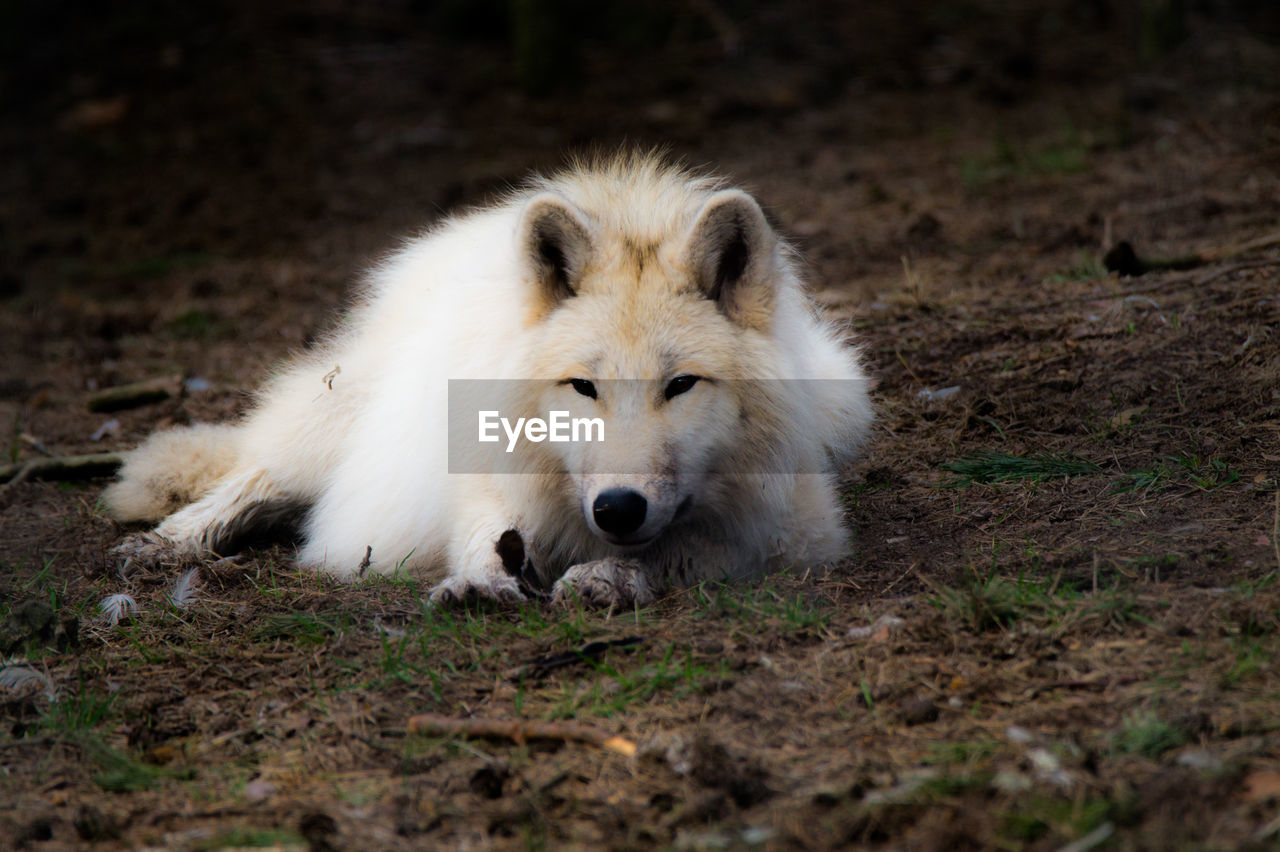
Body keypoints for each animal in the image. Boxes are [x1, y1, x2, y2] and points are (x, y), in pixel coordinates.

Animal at [104, 152, 875, 603]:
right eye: (583, 387)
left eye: (680, 385)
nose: (618, 509)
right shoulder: (481, 468)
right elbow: (489, 528)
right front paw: (481, 580)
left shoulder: (797, 529)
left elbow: (686, 548)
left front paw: (609, 577)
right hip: (338, 423)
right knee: (255, 476)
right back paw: (168, 542)